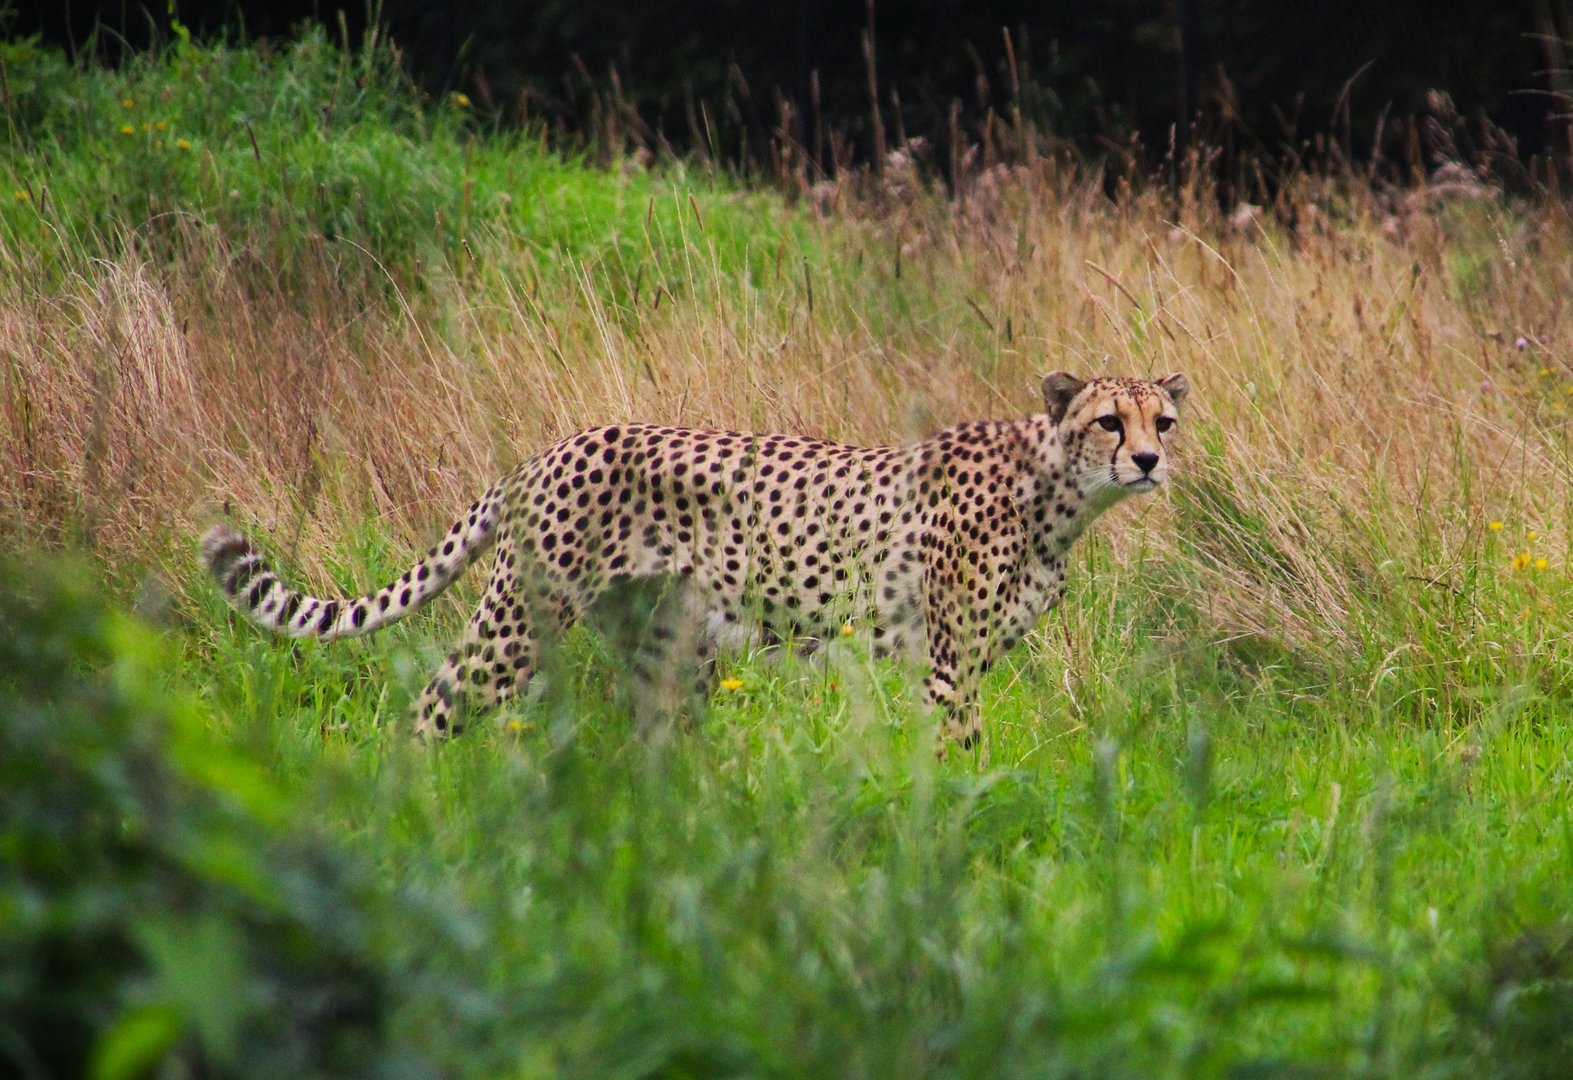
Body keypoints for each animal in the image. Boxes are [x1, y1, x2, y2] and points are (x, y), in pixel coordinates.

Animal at [201, 370, 1189, 752]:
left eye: (1163, 421)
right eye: (1110, 420)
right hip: (522, 619)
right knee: (436, 700)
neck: (1060, 495)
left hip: (667, 645)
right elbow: (959, 753)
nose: (1147, 460)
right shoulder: (946, 665)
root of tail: (553, 447)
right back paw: (415, 803)